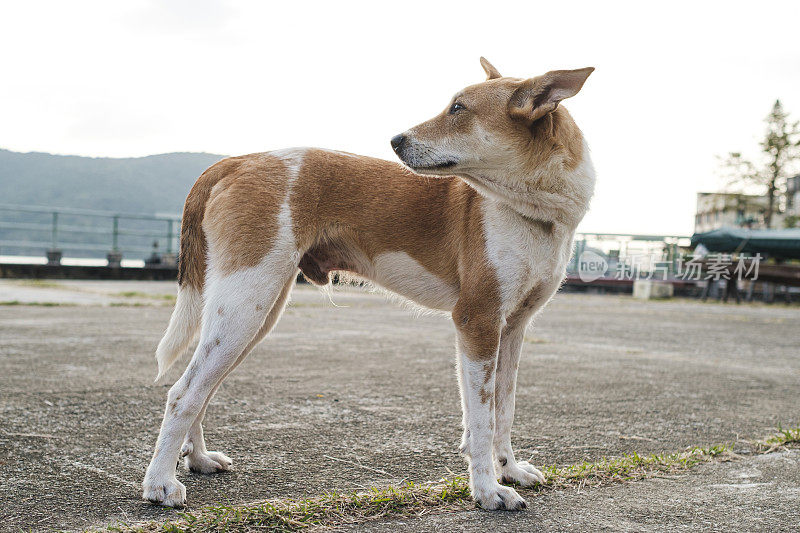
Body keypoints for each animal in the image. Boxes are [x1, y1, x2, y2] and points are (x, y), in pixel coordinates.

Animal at [142, 58, 592, 512]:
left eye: (459, 109)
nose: (395, 140)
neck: (533, 211)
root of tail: (235, 161)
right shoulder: (476, 320)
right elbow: (481, 420)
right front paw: (487, 490)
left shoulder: (512, 328)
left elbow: (504, 409)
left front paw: (509, 470)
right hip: (244, 306)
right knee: (183, 393)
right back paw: (160, 483)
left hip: (251, 315)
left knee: (200, 389)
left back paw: (197, 458)